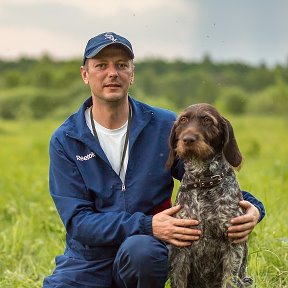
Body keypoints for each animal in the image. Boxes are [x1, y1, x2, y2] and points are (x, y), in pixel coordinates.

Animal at [166, 103, 252, 288]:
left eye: (207, 120)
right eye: (183, 120)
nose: (188, 139)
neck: (203, 183)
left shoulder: (233, 246)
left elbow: (229, 280)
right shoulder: (180, 248)